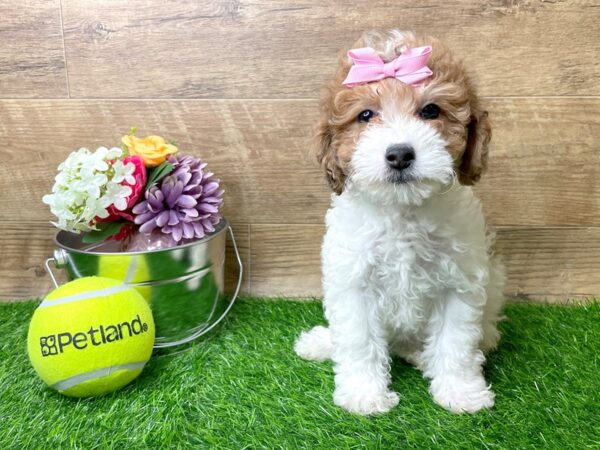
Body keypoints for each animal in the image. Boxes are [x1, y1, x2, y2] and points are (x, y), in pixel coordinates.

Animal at [296, 29, 506, 414]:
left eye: (431, 110)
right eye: (365, 115)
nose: (399, 154)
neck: (402, 209)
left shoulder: (458, 282)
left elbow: (455, 341)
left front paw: (460, 392)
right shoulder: (353, 281)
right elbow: (358, 341)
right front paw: (364, 395)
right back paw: (321, 342)